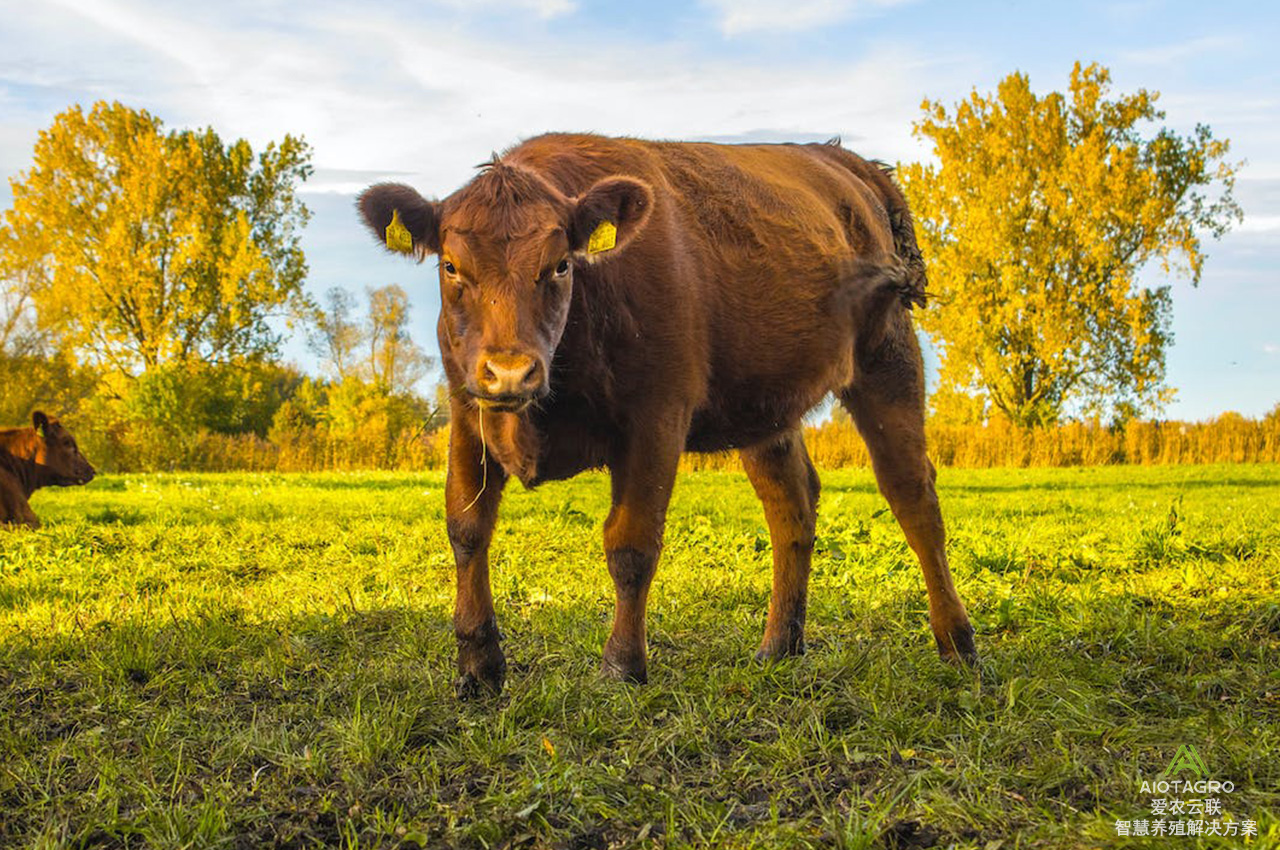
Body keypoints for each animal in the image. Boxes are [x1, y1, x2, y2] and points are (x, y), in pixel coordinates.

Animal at [360, 131, 977, 691]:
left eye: (560, 265)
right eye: (450, 266)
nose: (511, 371)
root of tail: (847, 161)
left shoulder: (656, 415)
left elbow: (631, 543)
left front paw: (622, 666)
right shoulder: (466, 408)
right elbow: (467, 528)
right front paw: (478, 665)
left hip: (887, 356)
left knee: (913, 496)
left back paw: (958, 642)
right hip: (765, 403)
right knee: (792, 503)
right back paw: (780, 645)